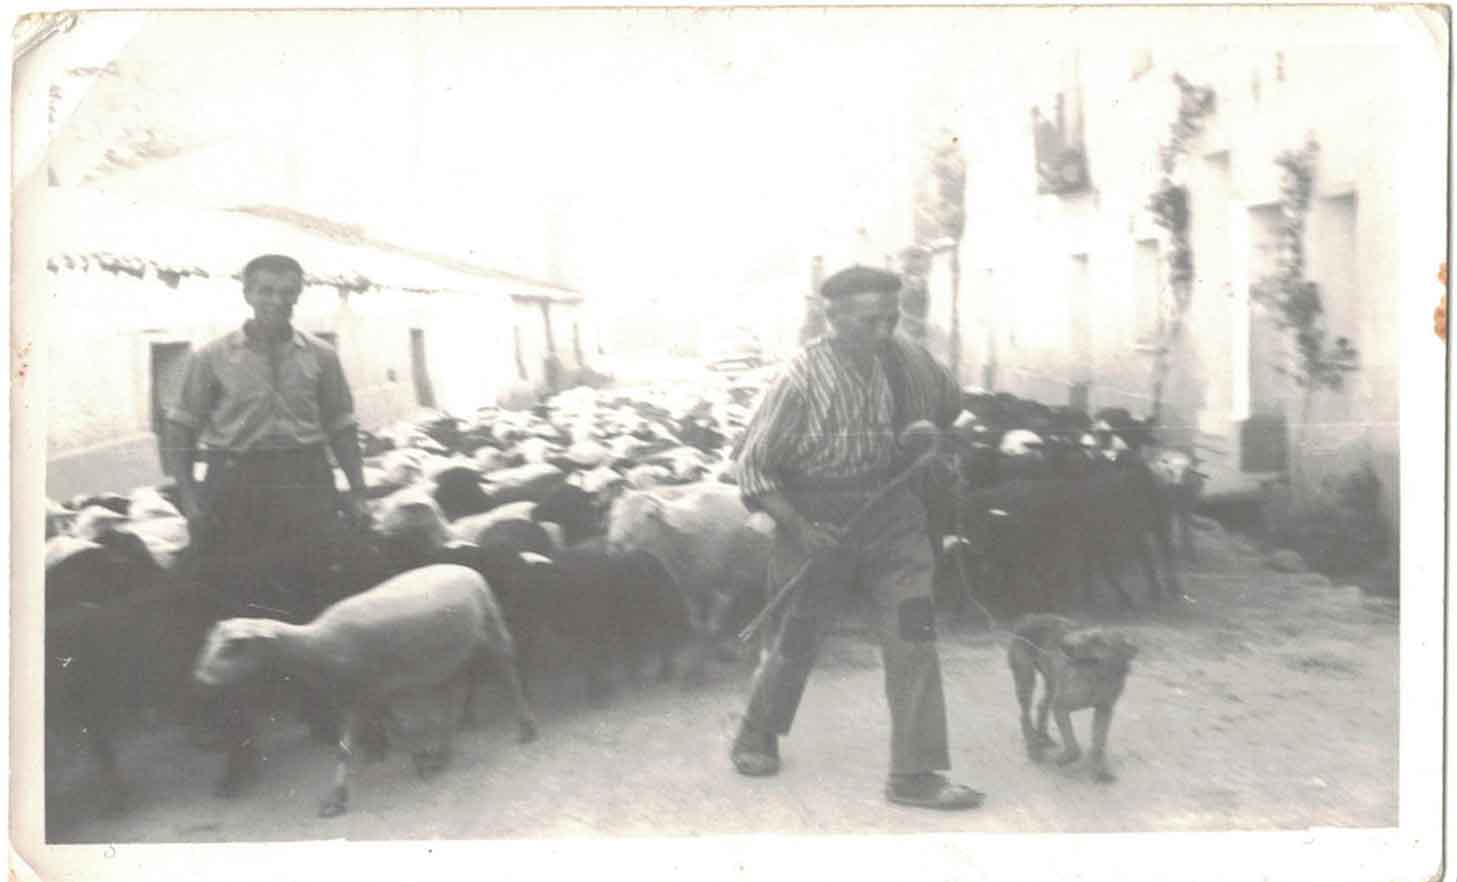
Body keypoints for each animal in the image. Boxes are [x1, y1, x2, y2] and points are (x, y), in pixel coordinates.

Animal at [190, 562, 536, 816]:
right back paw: (443, 752)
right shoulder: (371, 694)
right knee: (452, 694)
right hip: (449, 657)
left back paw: (526, 728)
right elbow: (397, 732)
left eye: (234, 647)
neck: (319, 645)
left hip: (491, 628)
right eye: (210, 642)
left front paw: (336, 800)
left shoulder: (364, 694)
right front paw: (422, 759)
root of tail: (466, 567)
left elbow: (347, 749)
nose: (201, 680)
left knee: (508, 672)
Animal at [1014, 612, 1136, 775]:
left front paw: (1100, 770)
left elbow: (1099, 744)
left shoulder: (1104, 710)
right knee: (1024, 716)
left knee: (1041, 706)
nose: (1064, 645)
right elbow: (1073, 747)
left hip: (1051, 684)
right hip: (1026, 679)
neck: (1098, 679)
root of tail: (1030, 618)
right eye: (1083, 635)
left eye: (1098, 641)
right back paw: (1034, 749)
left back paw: (1044, 738)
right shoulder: (1061, 707)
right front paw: (1064, 759)